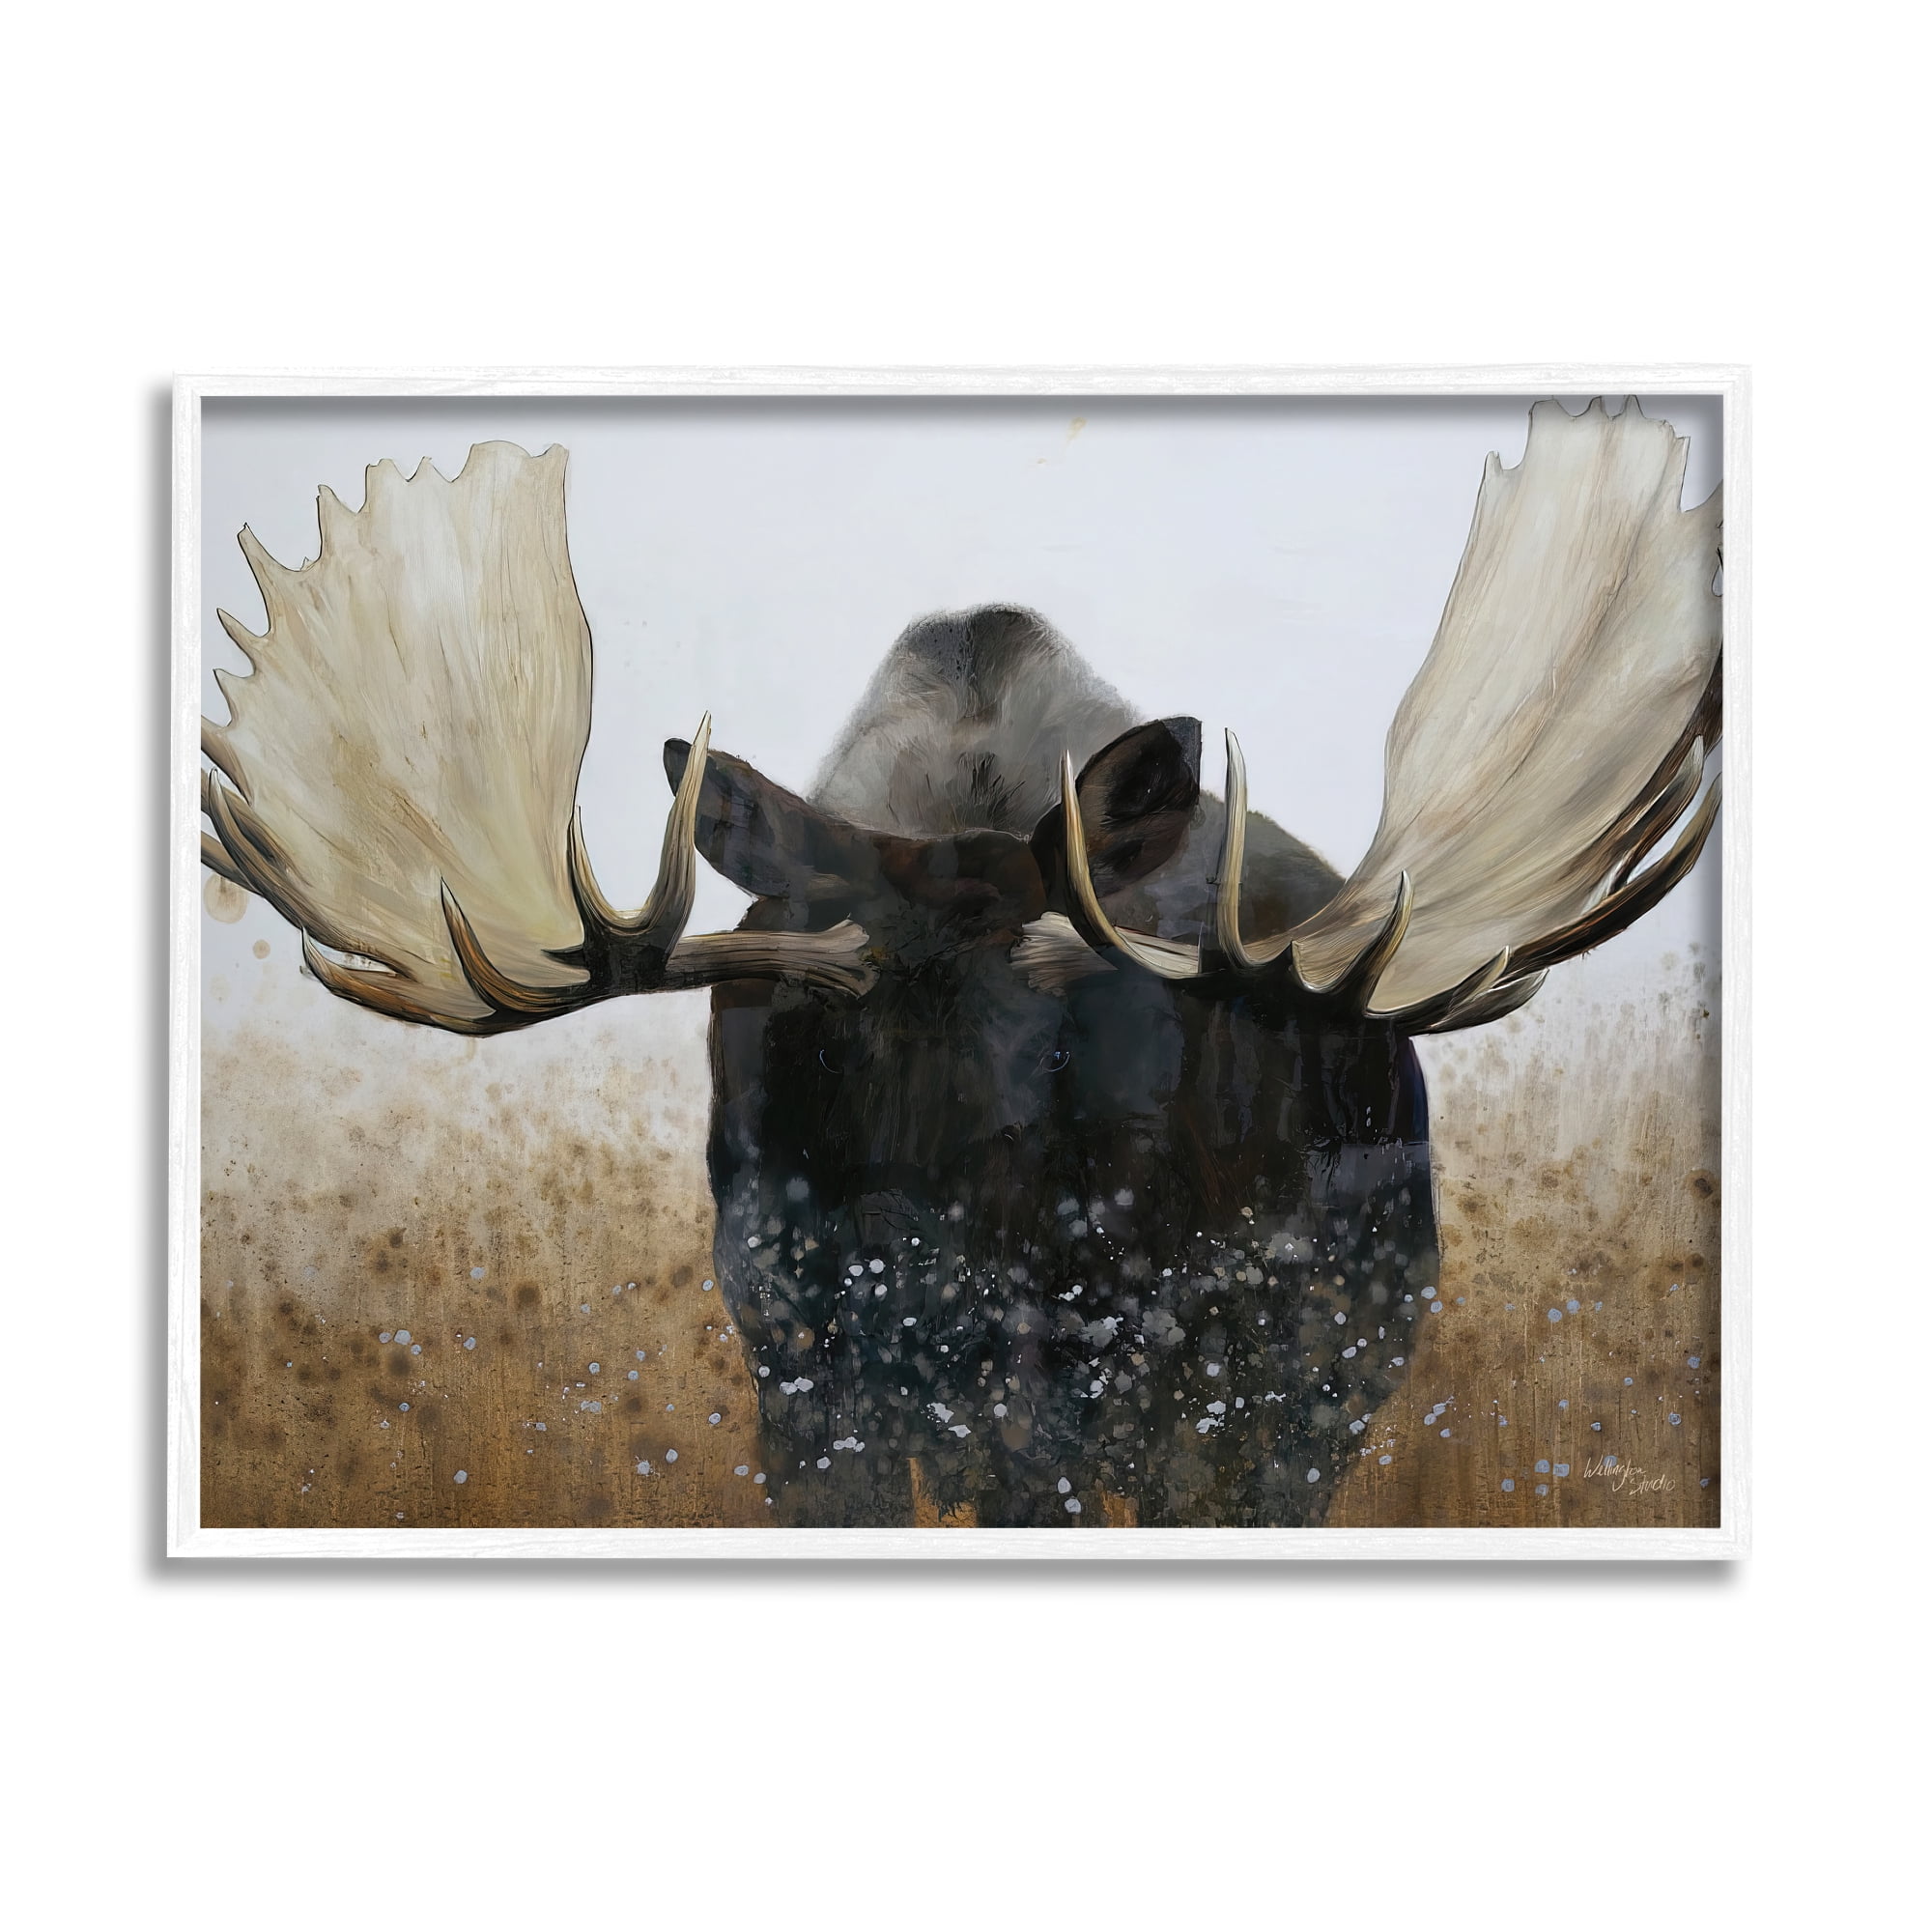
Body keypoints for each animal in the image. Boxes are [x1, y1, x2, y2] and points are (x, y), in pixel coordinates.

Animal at [201, 397, 1721, 1527]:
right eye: (827, 992)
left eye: (1069, 992)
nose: (932, 1282)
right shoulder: (799, 1370)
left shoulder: (1110, 1385)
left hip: (1301, 1367)